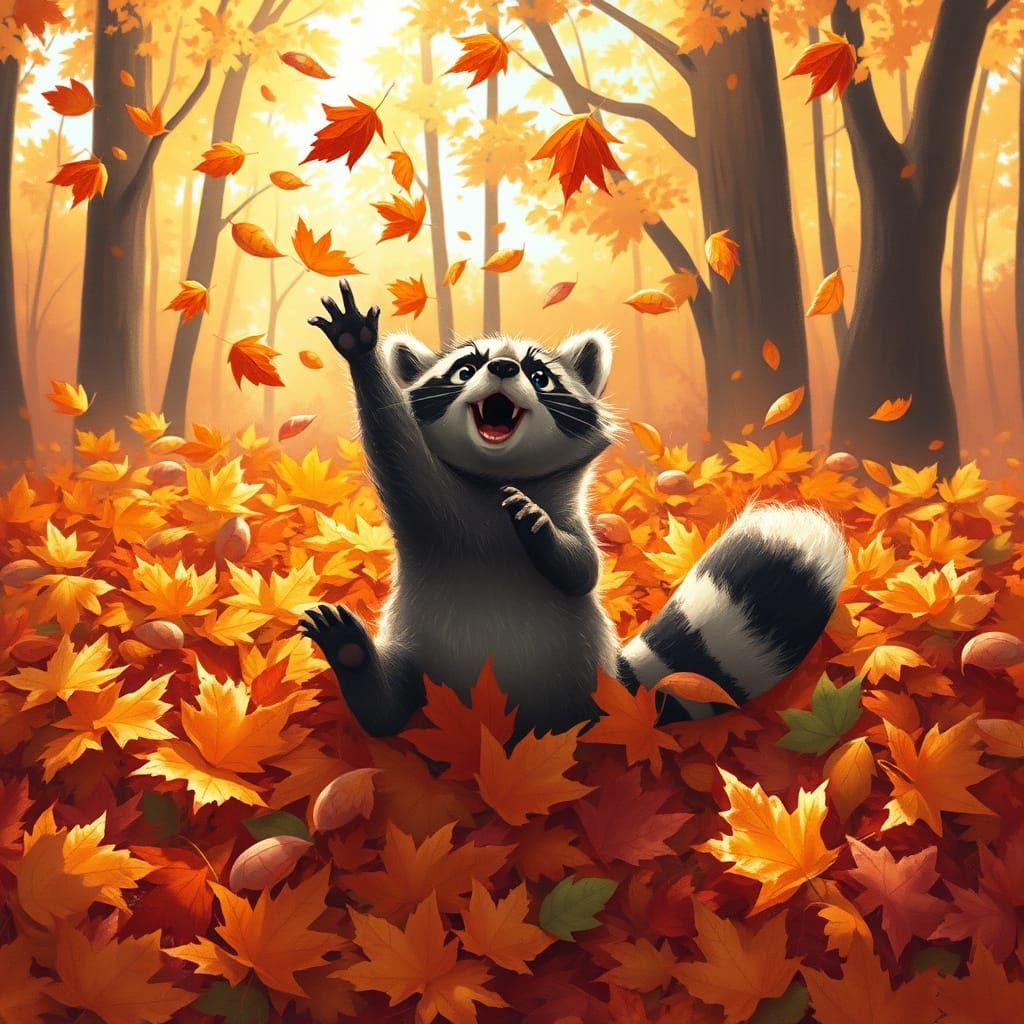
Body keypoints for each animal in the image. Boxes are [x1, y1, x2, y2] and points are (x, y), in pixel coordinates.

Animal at [298, 281, 847, 738]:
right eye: (465, 369)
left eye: (539, 375)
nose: (503, 368)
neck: (497, 476)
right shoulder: (423, 504)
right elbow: (394, 442)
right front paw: (358, 350)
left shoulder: (572, 523)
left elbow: (582, 569)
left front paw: (540, 529)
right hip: (415, 651)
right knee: (389, 711)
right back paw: (357, 663)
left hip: (572, 672)